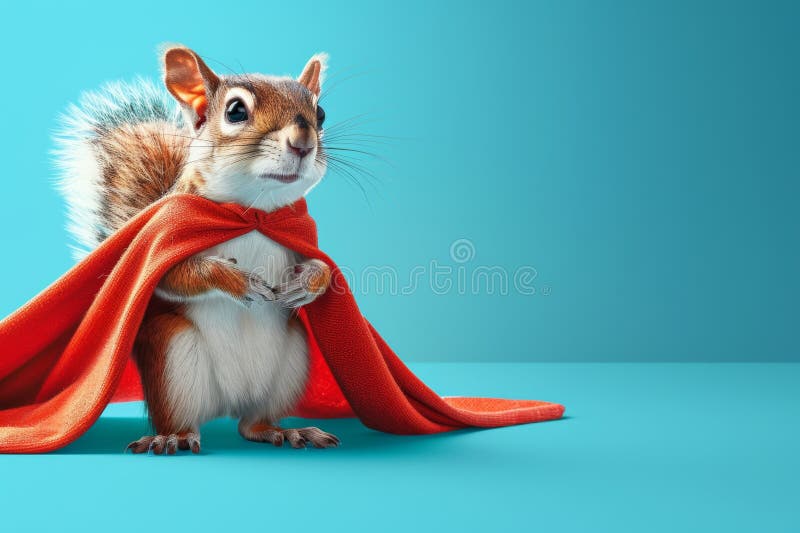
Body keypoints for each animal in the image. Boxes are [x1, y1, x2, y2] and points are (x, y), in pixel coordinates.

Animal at [54, 45, 340, 454]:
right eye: (235, 111)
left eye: (320, 114)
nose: (303, 142)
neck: (251, 212)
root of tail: (230, 402)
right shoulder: (166, 238)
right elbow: (175, 276)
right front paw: (238, 281)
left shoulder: (298, 235)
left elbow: (322, 265)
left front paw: (308, 282)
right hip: (173, 359)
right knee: (185, 418)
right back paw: (173, 436)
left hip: (291, 362)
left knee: (252, 424)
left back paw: (284, 430)